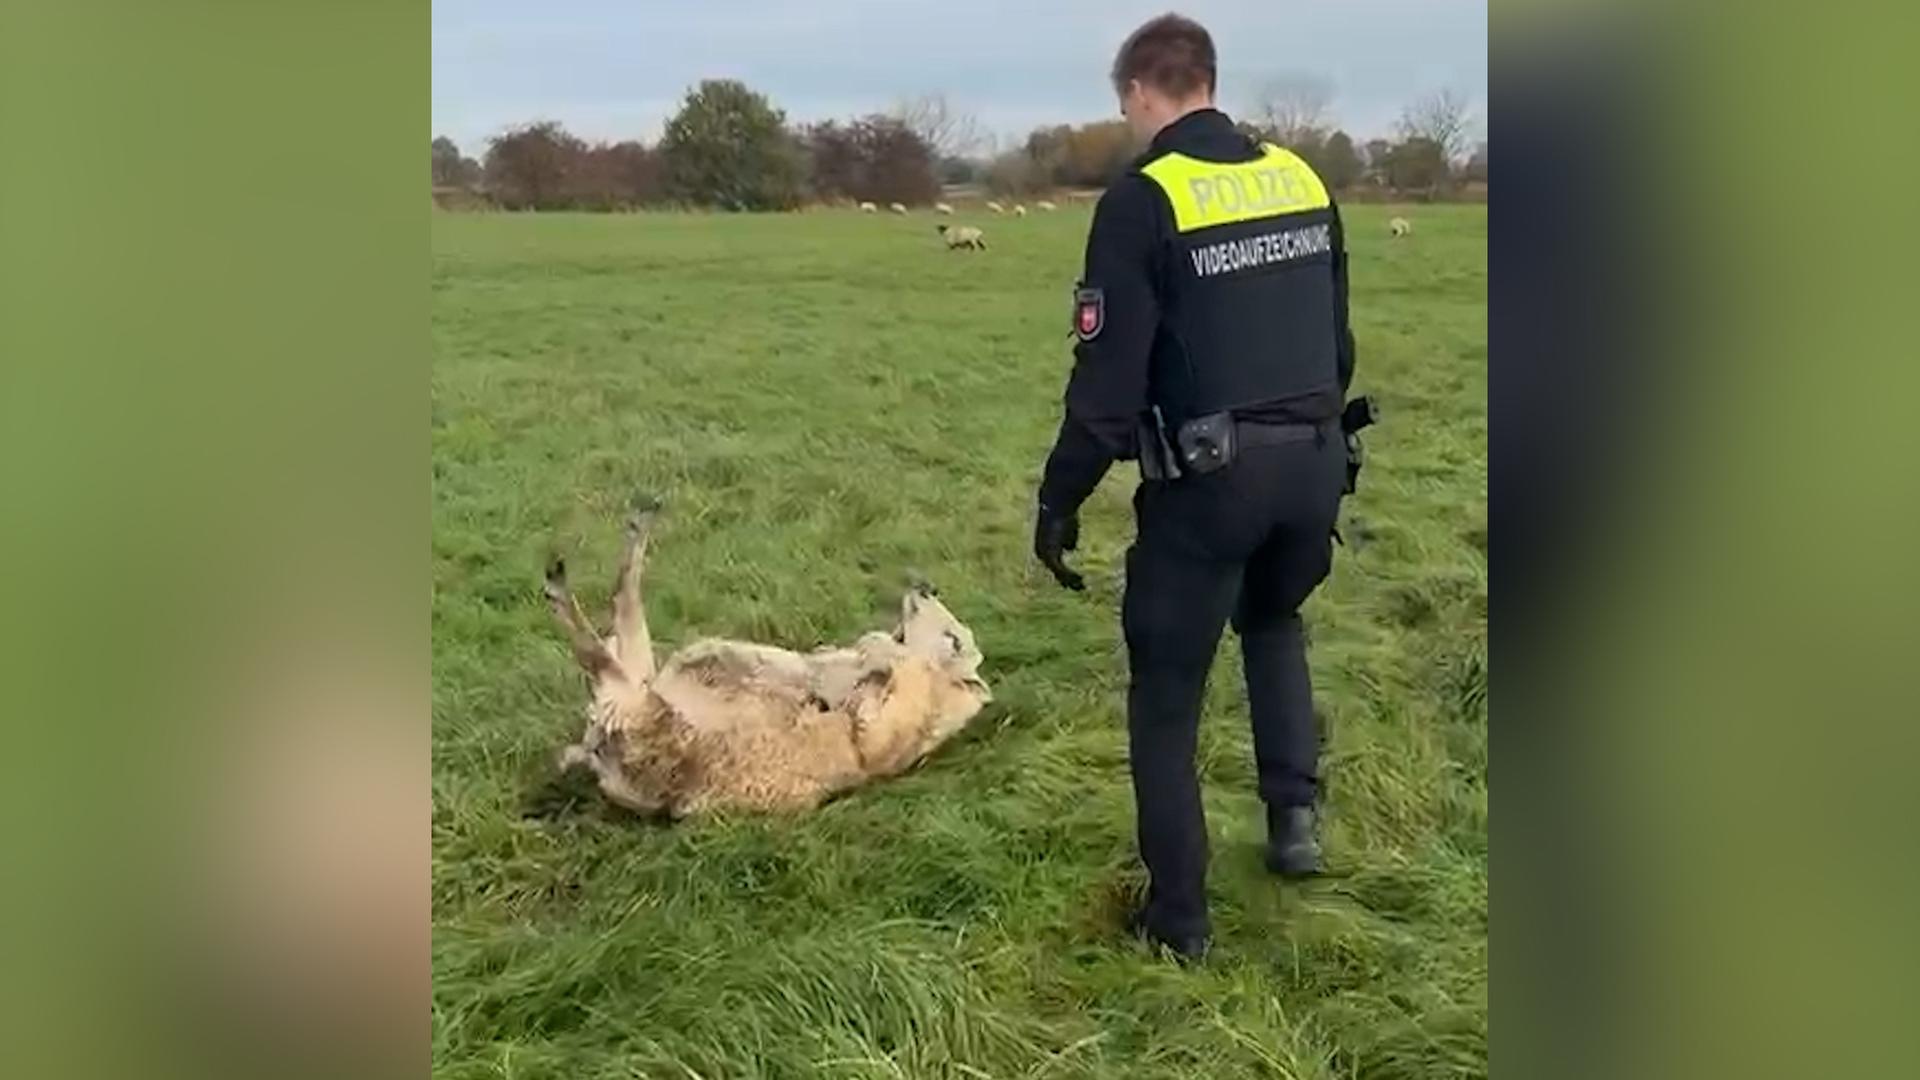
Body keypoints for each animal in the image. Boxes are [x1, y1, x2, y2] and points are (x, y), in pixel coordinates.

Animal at [543, 502, 990, 817]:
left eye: (954, 640)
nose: (926, 587)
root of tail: (596, 751)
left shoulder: (885, 731)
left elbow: (870, 721)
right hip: (642, 684)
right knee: (622, 616)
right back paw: (636, 529)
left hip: (643, 713)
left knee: (607, 638)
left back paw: (565, 582)